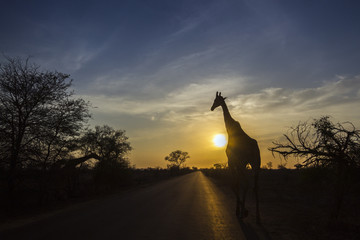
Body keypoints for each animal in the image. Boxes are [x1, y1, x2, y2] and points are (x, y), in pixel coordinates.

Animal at [210, 91, 260, 223]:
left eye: (216, 100)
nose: (211, 108)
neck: (230, 129)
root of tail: (254, 148)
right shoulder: (238, 163)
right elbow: (236, 183)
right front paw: (240, 209)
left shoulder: (231, 161)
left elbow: (234, 184)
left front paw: (240, 211)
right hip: (255, 164)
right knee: (255, 186)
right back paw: (258, 217)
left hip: (244, 163)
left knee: (246, 183)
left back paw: (244, 213)